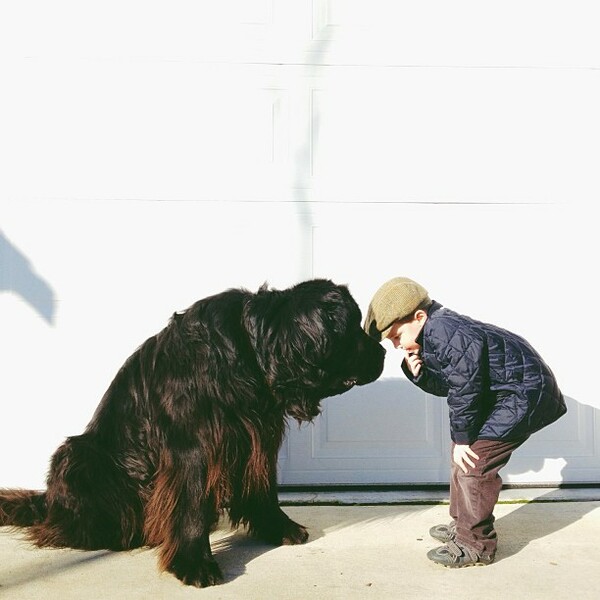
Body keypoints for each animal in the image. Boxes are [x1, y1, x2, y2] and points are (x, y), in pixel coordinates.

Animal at [0, 280, 384, 584]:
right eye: (354, 328)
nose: (382, 349)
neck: (248, 351)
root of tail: (47, 501)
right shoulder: (193, 445)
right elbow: (191, 504)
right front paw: (194, 562)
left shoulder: (258, 437)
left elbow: (263, 490)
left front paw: (279, 527)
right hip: (79, 455)